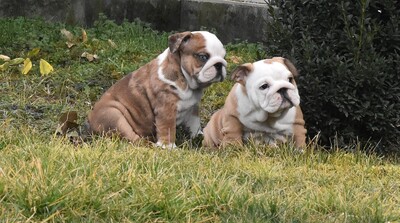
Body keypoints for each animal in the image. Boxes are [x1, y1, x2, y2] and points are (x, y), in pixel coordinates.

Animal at [87, 30, 227, 148]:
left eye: (224, 56)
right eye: (203, 57)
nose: (220, 64)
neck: (186, 81)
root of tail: (90, 121)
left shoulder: (193, 108)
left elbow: (194, 123)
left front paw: (199, 136)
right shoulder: (166, 109)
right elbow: (168, 128)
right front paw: (168, 147)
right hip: (115, 115)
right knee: (132, 138)